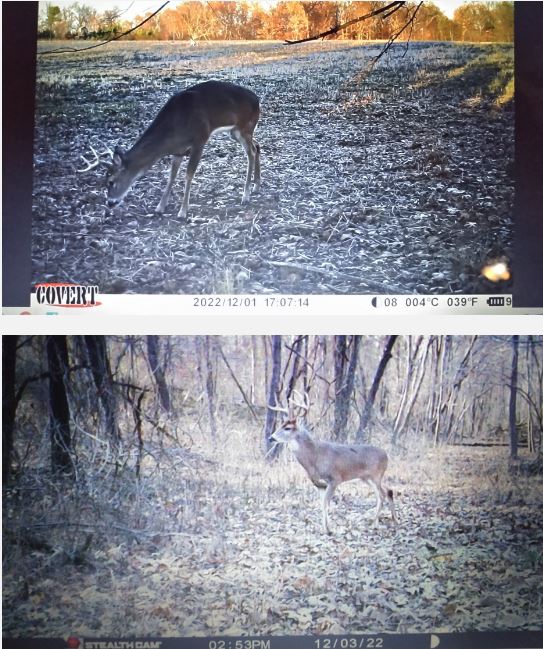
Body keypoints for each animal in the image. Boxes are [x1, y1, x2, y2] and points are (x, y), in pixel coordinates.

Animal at [79, 80, 261, 219]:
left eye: (111, 181)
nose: (110, 203)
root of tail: (257, 100)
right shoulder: (178, 150)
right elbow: (171, 176)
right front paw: (160, 207)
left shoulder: (200, 138)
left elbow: (188, 174)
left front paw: (182, 212)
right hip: (235, 131)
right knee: (257, 146)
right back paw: (256, 186)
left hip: (245, 126)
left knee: (251, 153)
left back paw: (245, 196)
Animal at [268, 392, 396, 535]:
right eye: (280, 425)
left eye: (288, 428)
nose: (271, 438)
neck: (314, 456)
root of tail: (386, 455)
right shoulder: (319, 484)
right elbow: (321, 504)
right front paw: (324, 527)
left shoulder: (335, 479)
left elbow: (326, 503)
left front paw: (328, 529)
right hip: (366, 478)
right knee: (388, 491)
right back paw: (393, 520)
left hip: (375, 475)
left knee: (382, 494)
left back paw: (375, 523)